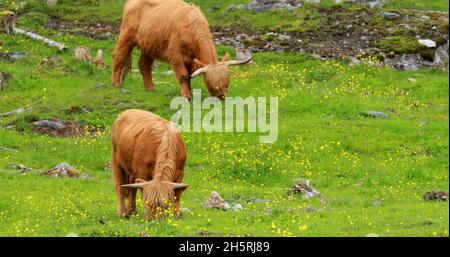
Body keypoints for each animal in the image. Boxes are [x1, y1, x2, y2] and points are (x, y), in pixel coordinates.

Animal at [110, 0, 251, 99]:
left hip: (149, 44)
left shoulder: (191, 60)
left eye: (227, 82)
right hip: (126, 34)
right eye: (211, 83)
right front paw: (187, 96)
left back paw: (150, 88)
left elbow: (189, 76)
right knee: (118, 56)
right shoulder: (176, 55)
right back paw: (116, 84)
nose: (221, 97)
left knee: (144, 64)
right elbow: (183, 75)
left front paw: (191, 94)